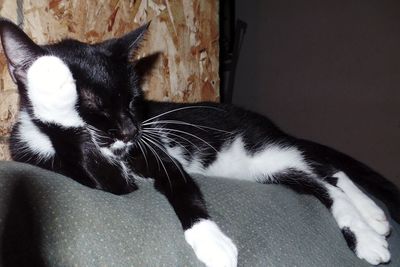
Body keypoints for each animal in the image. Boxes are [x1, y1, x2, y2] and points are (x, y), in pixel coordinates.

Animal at [0, 17, 398, 266]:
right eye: (96, 105)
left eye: (133, 100)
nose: (130, 130)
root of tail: (264, 123)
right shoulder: (44, 153)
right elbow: (106, 177)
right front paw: (50, 86)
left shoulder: (153, 150)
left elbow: (180, 184)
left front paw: (212, 242)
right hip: (262, 166)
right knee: (318, 175)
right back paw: (372, 218)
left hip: (259, 148)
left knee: (324, 173)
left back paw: (369, 228)